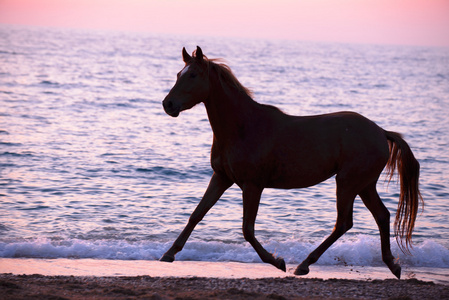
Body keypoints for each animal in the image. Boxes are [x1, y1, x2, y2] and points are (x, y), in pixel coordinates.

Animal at [161, 46, 424, 278]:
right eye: (178, 74)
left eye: (193, 75)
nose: (168, 104)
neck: (243, 127)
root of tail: (381, 132)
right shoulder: (222, 177)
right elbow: (197, 214)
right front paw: (169, 254)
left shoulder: (252, 185)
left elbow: (247, 229)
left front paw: (277, 261)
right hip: (364, 185)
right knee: (381, 216)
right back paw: (392, 265)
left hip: (348, 183)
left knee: (343, 223)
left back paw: (304, 264)